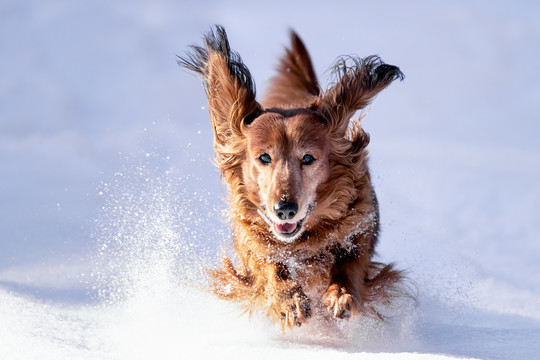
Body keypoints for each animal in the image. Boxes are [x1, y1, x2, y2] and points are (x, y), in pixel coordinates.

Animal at [180, 25, 404, 330]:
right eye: (264, 157)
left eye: (308, 158)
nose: (284, 209)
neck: (303, 239)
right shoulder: (252, 237)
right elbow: (268, 265)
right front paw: (289, 299)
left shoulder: (361, 223)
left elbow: (350, 264)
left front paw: (341, 294)